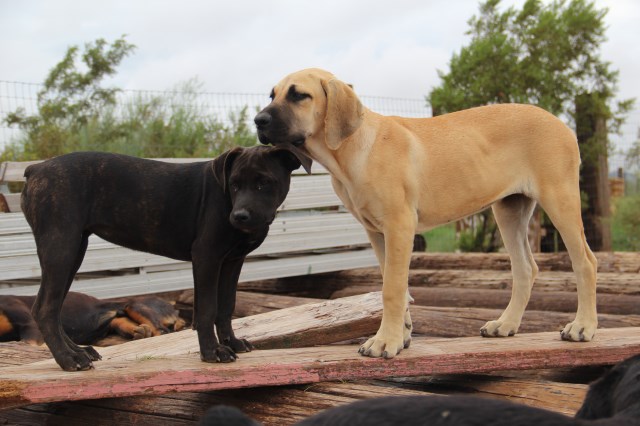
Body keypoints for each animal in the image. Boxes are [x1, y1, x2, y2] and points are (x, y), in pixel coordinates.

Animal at [21, 146, 306, 370]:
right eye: (234, 184)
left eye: (264, 183)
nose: (240, 216)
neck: (226, 198)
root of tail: (36, 169)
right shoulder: (207, 256)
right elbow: (207, 309)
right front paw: (212, 352)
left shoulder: (232, 262)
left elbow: (226, 307)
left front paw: (232, 343)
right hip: (61, 246)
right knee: (45, 308)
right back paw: (68, 359)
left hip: (73, 250)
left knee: (52, 307)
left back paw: (79, 351)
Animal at [252, 68, 596, 358]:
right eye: (272, 95)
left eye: (299, 95)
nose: (258, 121)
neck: (352, 149)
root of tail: (562, 124)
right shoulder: (378, 233)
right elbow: (397, 285)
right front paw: (401, 335)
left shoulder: (399, 226)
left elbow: (391, 289)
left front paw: (385, 342)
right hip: (510, 209)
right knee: (525, 268)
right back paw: (506, 324)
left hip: (559, 199)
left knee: (586, 262)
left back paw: (583, 327)